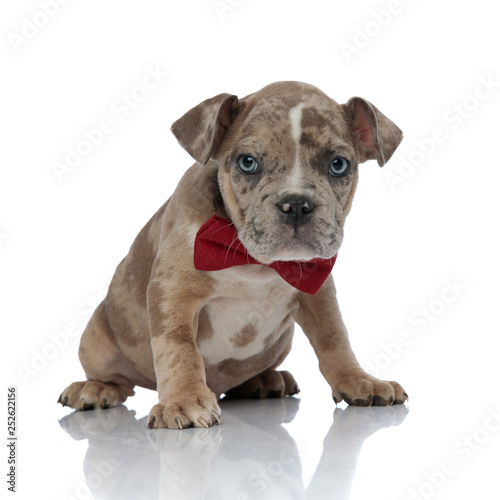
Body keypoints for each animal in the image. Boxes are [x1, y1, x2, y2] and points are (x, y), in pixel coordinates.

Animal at [59, 80, 410, 428]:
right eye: (247, 162)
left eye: (338, 165)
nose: (297, 203)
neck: (253, 260)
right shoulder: (172, 294)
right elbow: (178, 348)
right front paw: (183, 400)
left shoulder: (318, 293)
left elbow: (334, 338)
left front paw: (358, 380)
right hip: (97, 337)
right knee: (119, 381)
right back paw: (94, 389)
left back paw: (266, 381)